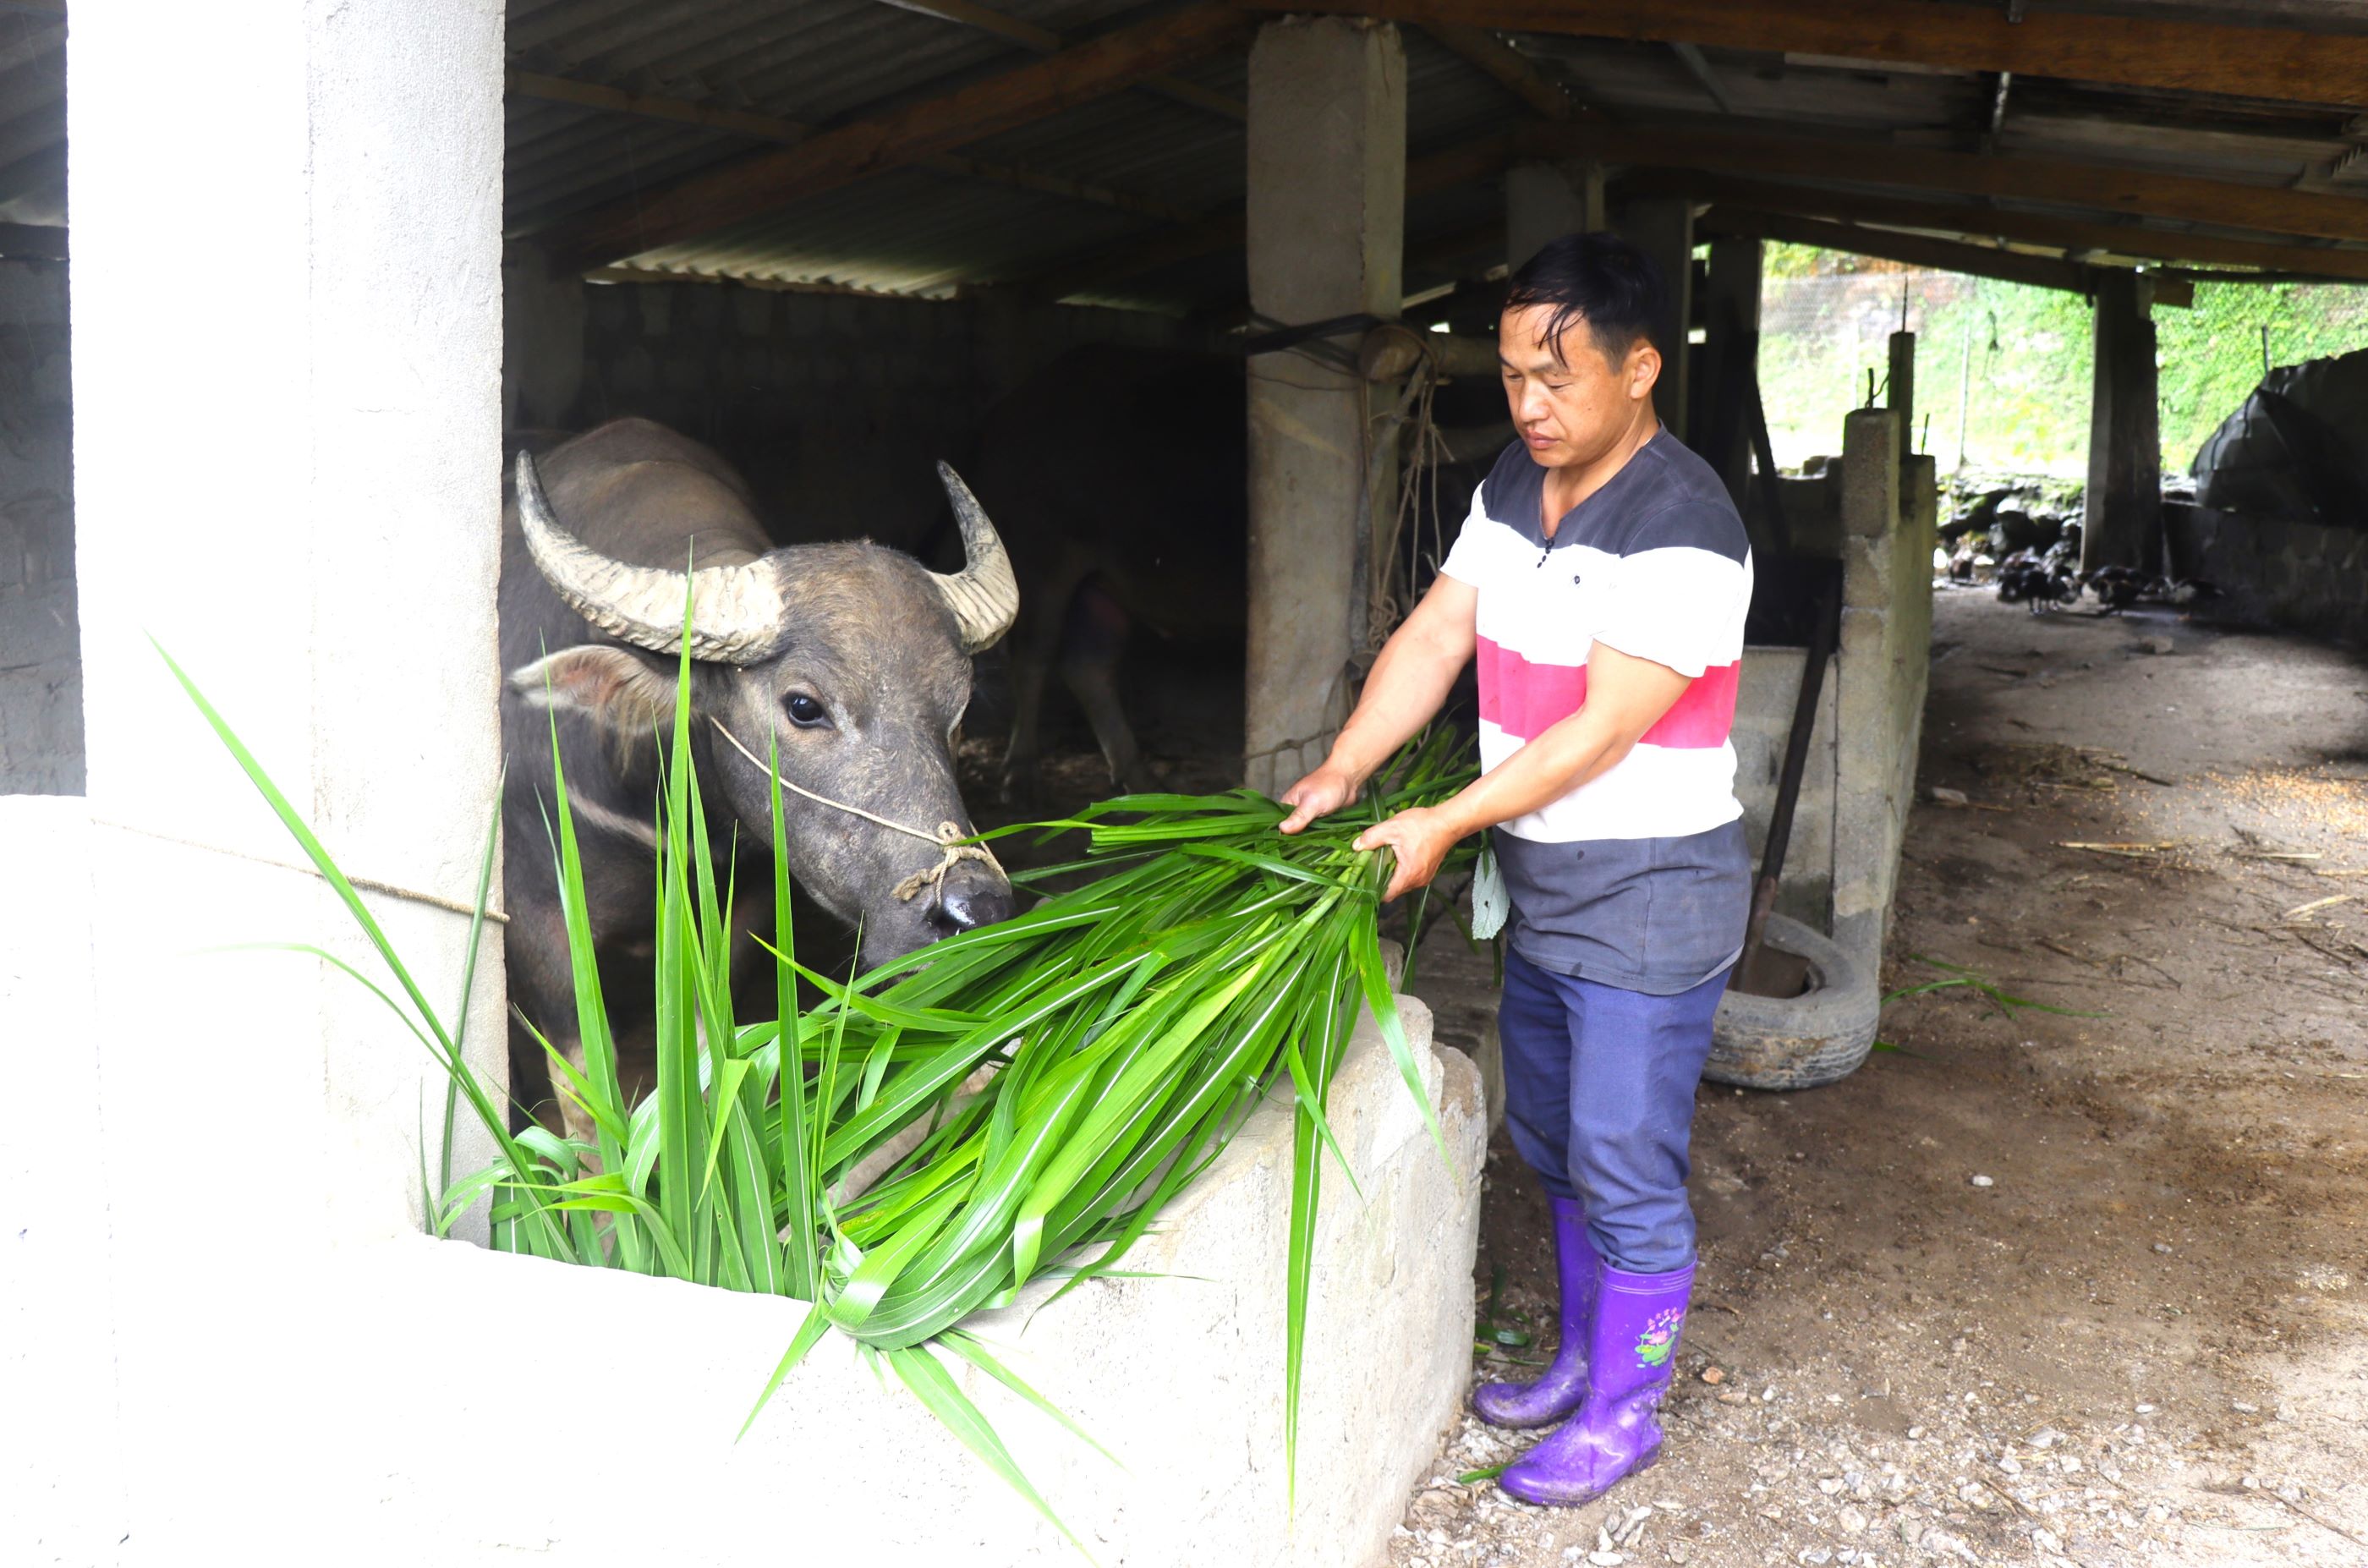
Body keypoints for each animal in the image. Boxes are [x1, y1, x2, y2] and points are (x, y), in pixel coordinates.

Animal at [499, 412, 1018, 1137]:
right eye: (803, 706)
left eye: (958, 710)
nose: (974, 909)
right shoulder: (539, 924)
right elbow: (584, 1103)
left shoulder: (743, 911)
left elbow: (709, 1059)